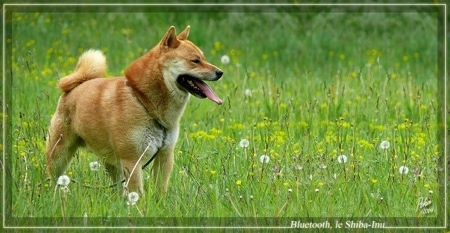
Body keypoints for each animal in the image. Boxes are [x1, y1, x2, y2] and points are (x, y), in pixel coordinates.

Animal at [44, 25, 224, 195]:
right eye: (195, 61)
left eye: (203, 58)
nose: (220, 72)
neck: (143, 101)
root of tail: (73, 88)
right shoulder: (132, 160)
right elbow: (138, 193)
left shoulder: (165, 155)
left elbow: (160, 190)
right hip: (59, 153)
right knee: (55, 178)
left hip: (112, 161)